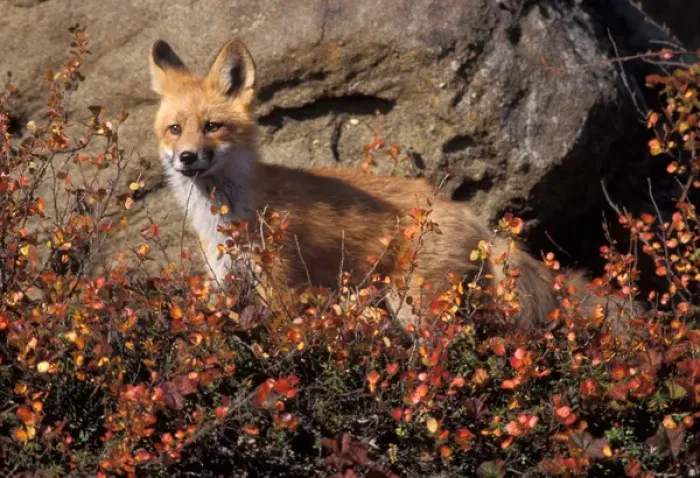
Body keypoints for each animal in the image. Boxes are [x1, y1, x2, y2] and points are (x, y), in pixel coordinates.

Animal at [148, 38, 634, 329]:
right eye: (175, 130)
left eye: (212, 127)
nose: (187, 157)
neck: (225, 217)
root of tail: (471, 216)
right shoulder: (226, 284)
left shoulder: (282, 285)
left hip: (415, 308)